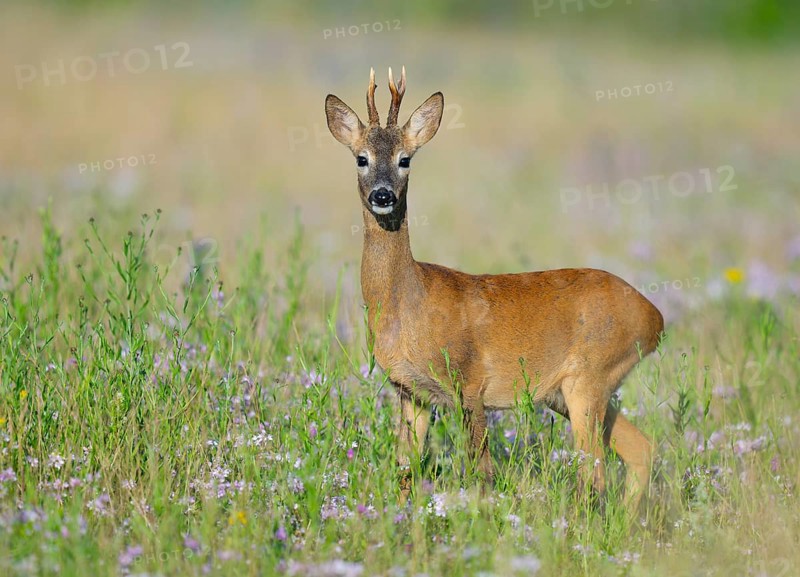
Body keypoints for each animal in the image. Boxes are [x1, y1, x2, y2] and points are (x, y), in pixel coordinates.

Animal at [324, 67, 664, 511]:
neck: (408, 304)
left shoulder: (468, 381)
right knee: (641, 447)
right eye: (361, 158)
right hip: (570, 391)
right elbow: (404, 469)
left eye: (405, 159)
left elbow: (480, 469)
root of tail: (656, 318)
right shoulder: (411, 392)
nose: (383, 195)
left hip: (591, 376)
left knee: (595, 471)